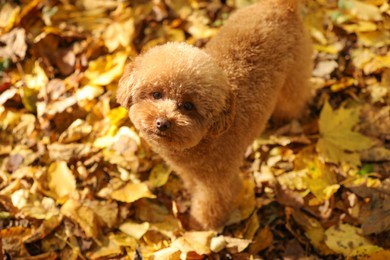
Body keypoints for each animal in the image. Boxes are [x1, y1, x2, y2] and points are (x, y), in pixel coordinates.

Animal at [116, 0, 310, 232]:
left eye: (188, 106)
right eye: (156, 94)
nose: (162, 123)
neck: (206, 139)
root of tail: (281, 5)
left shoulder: (218, 183)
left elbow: (210, 207)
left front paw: (200, 230)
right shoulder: (190, 172)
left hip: (295, 74)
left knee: (295, 100)